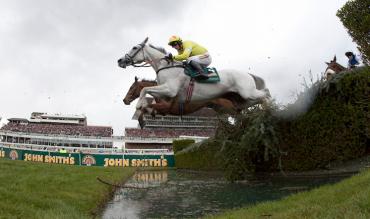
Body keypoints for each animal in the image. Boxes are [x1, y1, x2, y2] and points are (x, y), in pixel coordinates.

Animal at [117, 37, 270, 111]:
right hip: (241, 100)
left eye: (134, 48)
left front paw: (139, 105)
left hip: (247, 92)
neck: (166, 67)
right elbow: (148, 90)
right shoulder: (166, 95)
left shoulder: (170, 90)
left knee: (266, 94)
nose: (120, 60)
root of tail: (248, 74)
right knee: (257, 100)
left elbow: (144, 88)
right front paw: (143, 105)